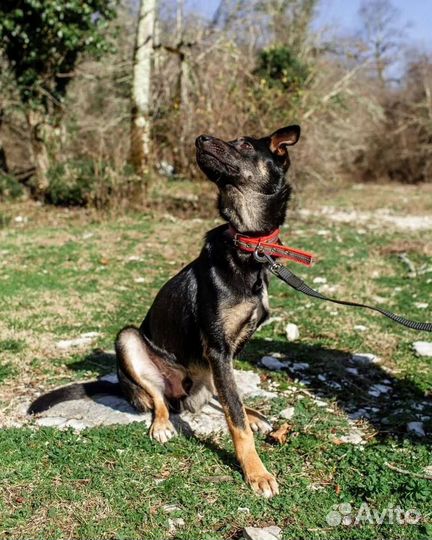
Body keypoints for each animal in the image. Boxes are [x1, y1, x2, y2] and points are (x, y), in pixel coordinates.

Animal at [29, 124, 300, 496]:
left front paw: (251, 424)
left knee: (216, 394)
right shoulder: (218, 348)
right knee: (157, 398)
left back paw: (254, 414)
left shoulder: (230, 348)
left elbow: (234, 404)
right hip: (129, 341)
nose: (200, 138)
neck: (249, 245)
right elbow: (235, 420)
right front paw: (256, 472)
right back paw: (161, 424)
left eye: (245, 144)